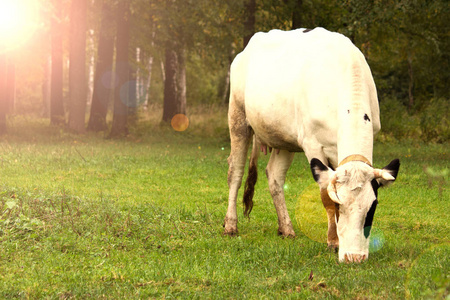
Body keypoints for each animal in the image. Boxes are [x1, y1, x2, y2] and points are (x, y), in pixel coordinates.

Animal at [225, 28, 400, 262]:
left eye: (372, 207)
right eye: (339, 205)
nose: (354, 257)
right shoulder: (312, 144)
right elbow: (325, 194)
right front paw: (333, 241)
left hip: (284, 139)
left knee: (274, 177)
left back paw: (286, 228)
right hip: (238, 118)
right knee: (235, 172)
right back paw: (230, 225)